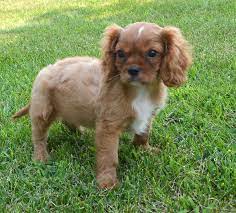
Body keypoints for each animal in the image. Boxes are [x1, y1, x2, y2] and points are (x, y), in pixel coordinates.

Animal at [12, 22, 192, 188]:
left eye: (152, 53)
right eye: (120, 53)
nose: (133, 70)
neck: (139, 90)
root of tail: (46, 69)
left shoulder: (148, 115)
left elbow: (143, 134)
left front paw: (143, 150)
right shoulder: (108, 127)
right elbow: (109, 156)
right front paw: (107, 182)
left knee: (67, 120)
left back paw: (78, 132)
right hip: (42, 111)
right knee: (39, 137)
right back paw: (41, 156)